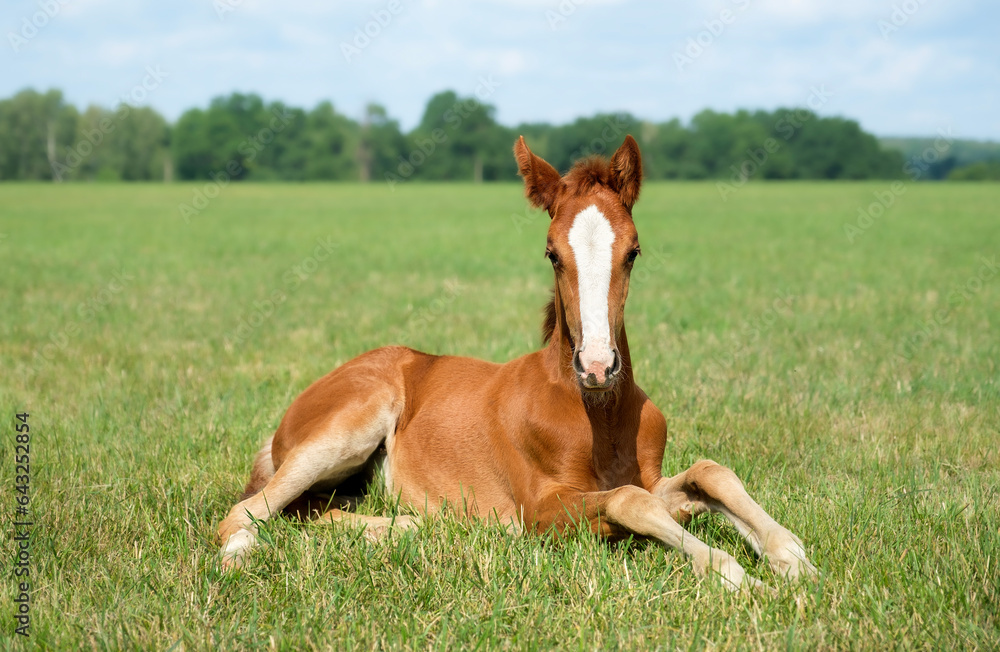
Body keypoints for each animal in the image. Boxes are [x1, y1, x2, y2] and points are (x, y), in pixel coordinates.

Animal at [216, 135, 817, 590]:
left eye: (634, 251)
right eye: (552, 253)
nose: (597, 366)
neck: (598, 414)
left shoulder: (652, 478)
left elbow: (707, 475)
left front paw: (792, 556)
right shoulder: (542, 507)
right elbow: (632, 503)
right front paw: (736, 574)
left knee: (316, 510)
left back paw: (417, 524)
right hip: (351, 421)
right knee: (246, 513)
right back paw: (240, 554)